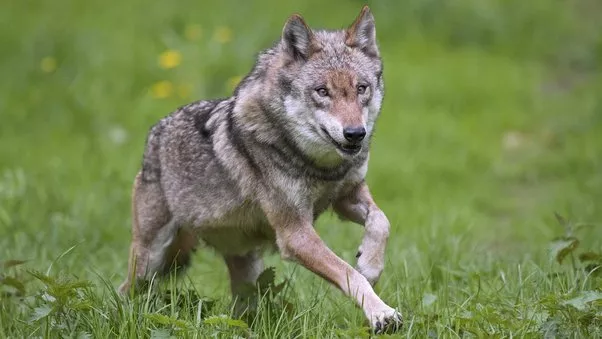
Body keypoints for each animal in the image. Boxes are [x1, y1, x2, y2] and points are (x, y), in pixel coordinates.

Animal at [117, 5, 398, 334]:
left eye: (361, 89)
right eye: (322, 91)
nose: (355, 134)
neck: (315, 164)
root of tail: (154, 135)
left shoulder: (346, 195)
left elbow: (381, 221)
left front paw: (370, 264)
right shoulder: (295, 234)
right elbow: (349, 274)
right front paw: (381, 313)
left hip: (246, 270)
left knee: (240, 312)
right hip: (152, 259)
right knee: (126, 291)